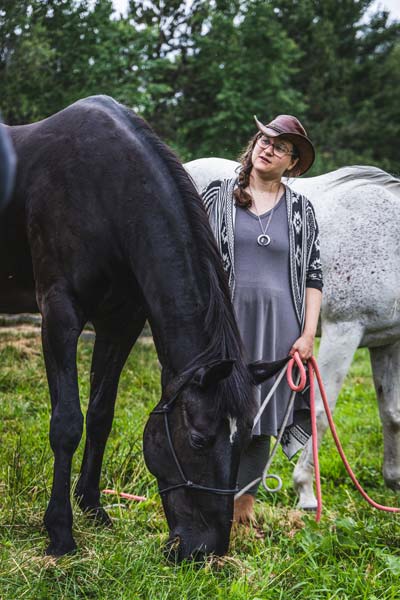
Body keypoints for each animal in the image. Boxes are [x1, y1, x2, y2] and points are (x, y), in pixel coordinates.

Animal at [0, 96, 284, 560]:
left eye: (243, 441)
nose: (204, 550)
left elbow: (100, 415)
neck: (103, 189)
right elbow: (67, 424)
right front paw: (60, 531)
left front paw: (92, 507)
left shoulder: (121, 322)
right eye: (200, 439)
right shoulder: (60, 313)